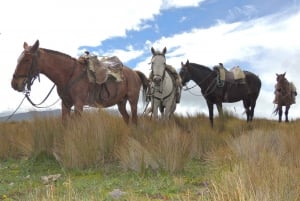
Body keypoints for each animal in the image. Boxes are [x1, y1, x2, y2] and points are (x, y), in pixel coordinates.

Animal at [10, 39, 149, 124]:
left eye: (27, 60)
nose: (14, 84)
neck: (68, 75)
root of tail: (134, 72)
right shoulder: (66, 104)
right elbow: (65, 125)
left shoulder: (78, 104)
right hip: (121, 102)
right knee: (126, 118)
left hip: (133, 100)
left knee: (134, 119)